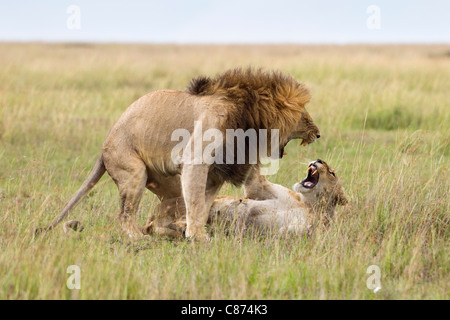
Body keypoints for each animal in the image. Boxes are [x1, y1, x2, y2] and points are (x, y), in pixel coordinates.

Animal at [44, 69, 320, 239]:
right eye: (305, 117)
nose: (318, 134)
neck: (250, 119)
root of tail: (103, 147)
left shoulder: (216, 172)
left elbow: (203, 202)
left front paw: (193, 231)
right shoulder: (196, 161)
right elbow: (197, 202)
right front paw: (198, 237)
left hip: (168, 183)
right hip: (133, 171)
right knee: (124, 214)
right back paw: (138, 238)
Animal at [143, 159, 348, 236]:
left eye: (332, 173)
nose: (318, 160)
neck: (308, 204)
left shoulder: (316, 229)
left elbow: (298, 231)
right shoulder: (258, 189)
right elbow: (255, 178)